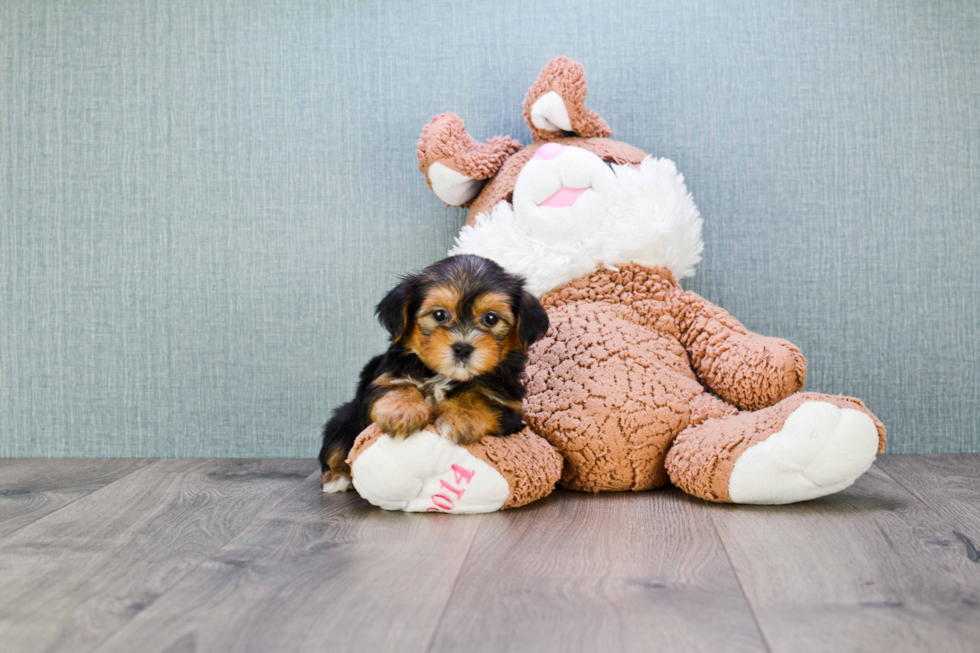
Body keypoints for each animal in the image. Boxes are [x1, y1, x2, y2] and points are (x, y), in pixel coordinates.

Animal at [318, 253, 548, 488]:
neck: (444, 375)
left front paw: (462, 417)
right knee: (336, 447)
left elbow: (481, 394)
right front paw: (403, 412)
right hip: (343, 419)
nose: (463, 347)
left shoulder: (509, 404)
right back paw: (337, 477)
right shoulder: (383, 377)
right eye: (439, 315)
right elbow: (396, 385)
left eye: (491, 318)